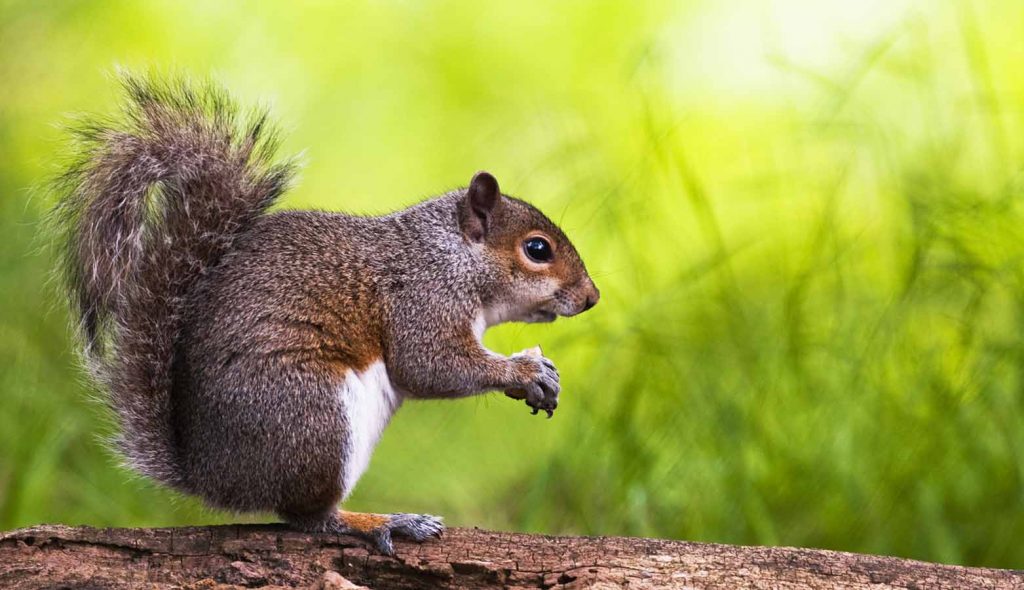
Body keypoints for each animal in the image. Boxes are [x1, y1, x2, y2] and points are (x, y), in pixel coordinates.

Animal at [51, 75, 598, 557]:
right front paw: (524, 370)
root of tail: (209, 474)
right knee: (309, 517)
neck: (450, 255)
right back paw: (382, 521)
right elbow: (429, 366)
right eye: (537, 249)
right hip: (315, 418)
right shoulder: (422, 300)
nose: (592, 297)